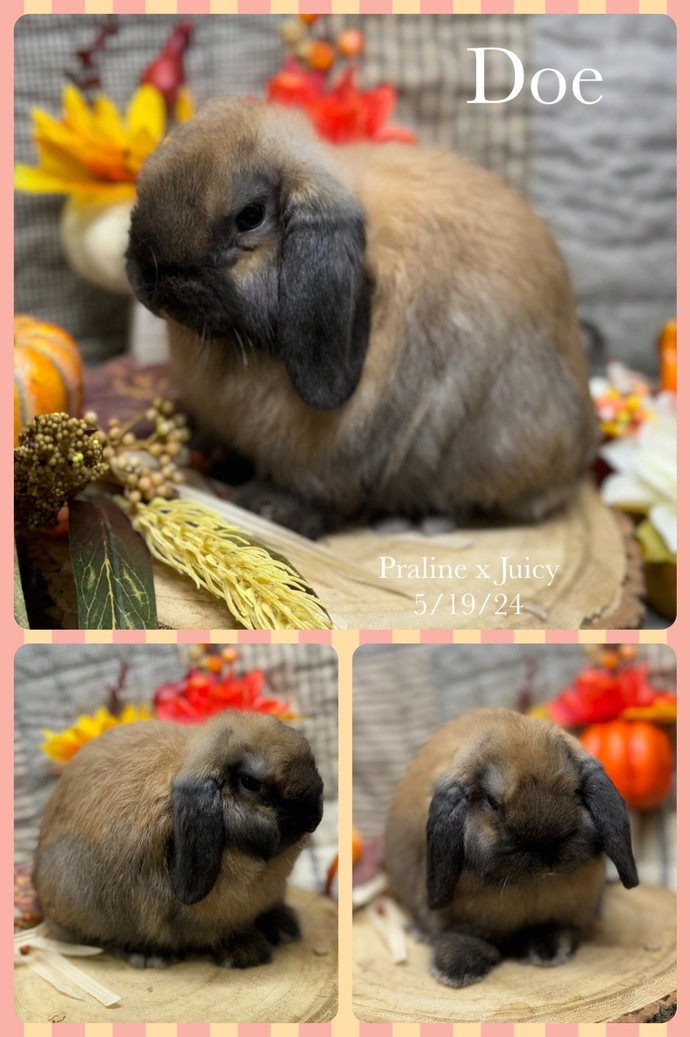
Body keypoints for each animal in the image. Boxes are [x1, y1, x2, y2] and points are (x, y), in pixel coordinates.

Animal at [33, 710, 324, 969]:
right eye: (249, 782)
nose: (313, 817)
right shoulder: (205, 919)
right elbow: (217, 934)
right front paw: (247, 952)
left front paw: (282, 927)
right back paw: (148, 955)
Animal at [384, 708, 638, 988]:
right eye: (491, 802)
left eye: (575, 791)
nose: (547, 853)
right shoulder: (460, 918)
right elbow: (464, 936)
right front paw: (453, 970)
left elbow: (555, 928)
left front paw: (548, 951)